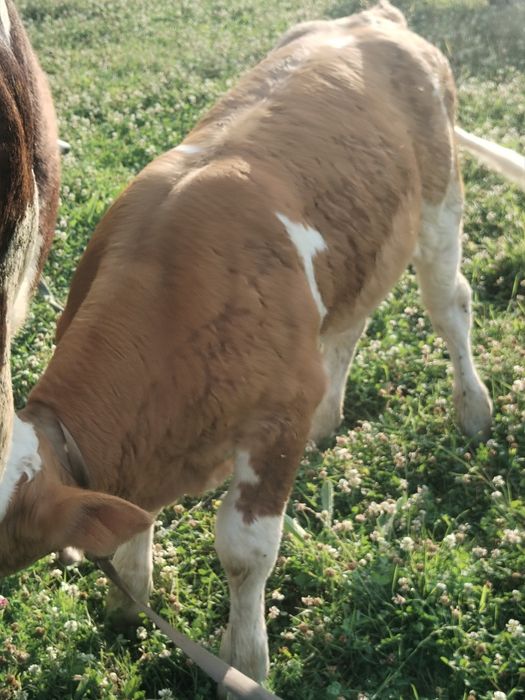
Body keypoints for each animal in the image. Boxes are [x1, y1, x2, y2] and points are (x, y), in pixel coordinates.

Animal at [0, 1, 492, 690]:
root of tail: (374, 19)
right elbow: (138, 517)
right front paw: (131, 595)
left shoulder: (277, 420)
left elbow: (244, 551)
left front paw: (246, 661)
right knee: (350, 324)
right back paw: (331, 415)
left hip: (440, 206)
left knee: (450, 307)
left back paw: (474, 410)